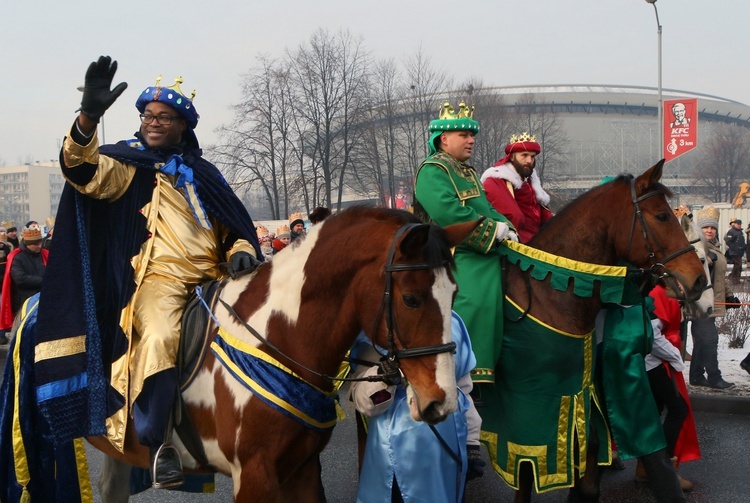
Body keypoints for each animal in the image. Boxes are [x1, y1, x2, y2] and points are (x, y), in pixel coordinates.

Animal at [92, 207, 482, 502]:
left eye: (454, 293)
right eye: (411, 299)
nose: (442, 401)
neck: (275, 336)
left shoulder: (301, 468)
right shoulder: (254, 476)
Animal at [496, 163, 712, 502]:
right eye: (661, 216)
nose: (699, 282)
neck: (547, 293)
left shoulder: (576, 391)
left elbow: (589, 452)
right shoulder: (529, 398)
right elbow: (526, 467)